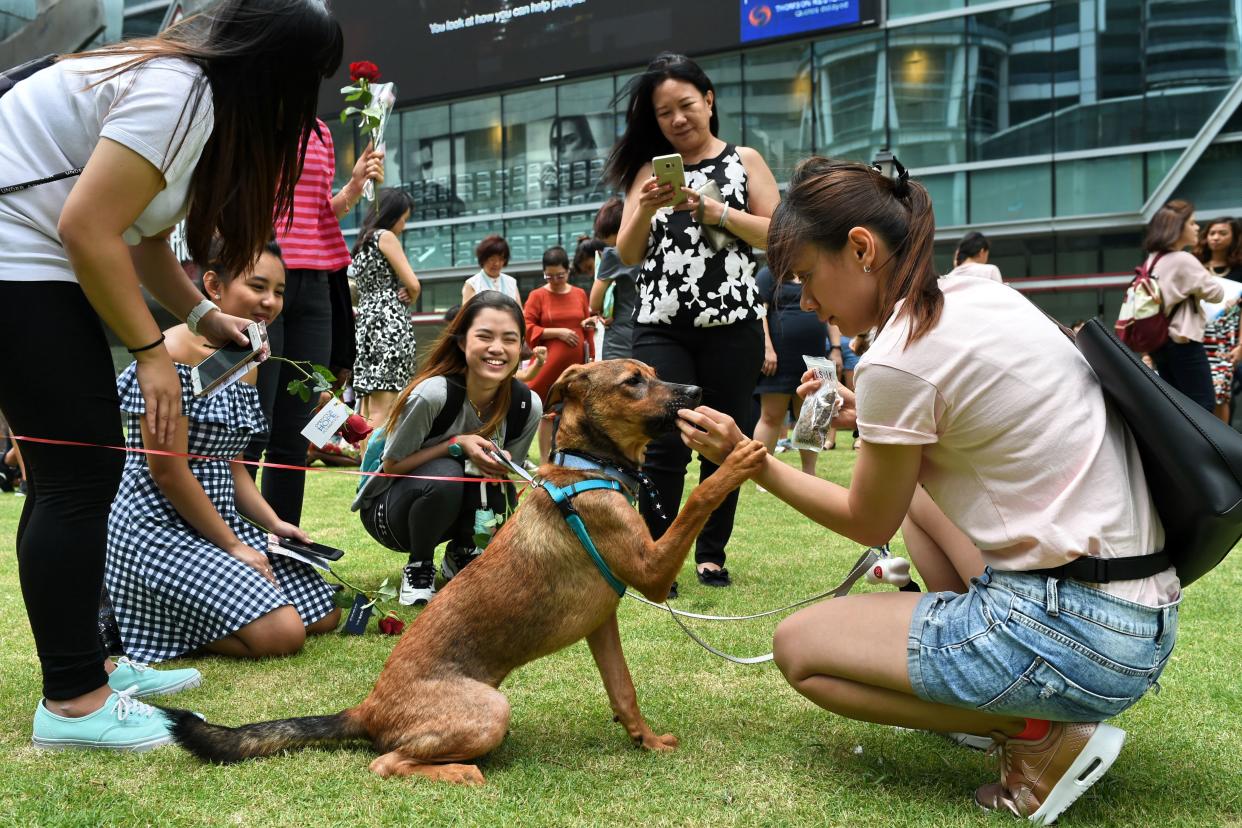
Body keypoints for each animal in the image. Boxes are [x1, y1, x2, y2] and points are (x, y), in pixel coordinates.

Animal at [165, 357, 765, 784]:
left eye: (657, 375)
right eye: (634, 382)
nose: (698, 394)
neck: (586, 467)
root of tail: (368, 708)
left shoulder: (603, 624)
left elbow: (624, 692)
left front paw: (646, 740)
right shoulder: (651, 569)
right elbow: (699, 498)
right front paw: (738, 455)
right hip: (491, 709)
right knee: (385, 763)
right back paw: (461, 771)